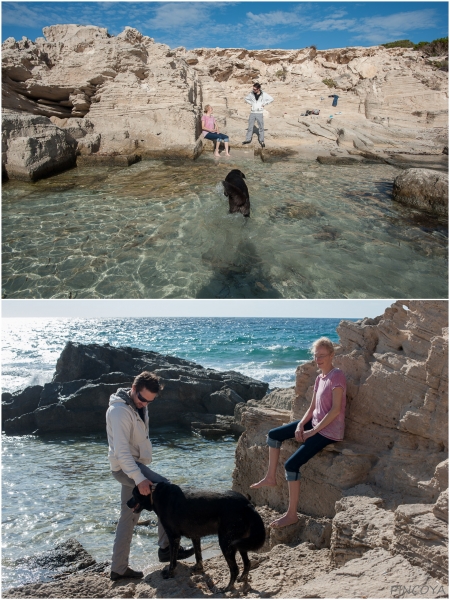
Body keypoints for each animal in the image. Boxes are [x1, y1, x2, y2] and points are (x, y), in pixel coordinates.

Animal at [126, 482, 266, 592]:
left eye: (134, 494)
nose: (127, 503)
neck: (155, 494)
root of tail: (247, 505)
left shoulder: (173, 537)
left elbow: (172, 560)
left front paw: (169, 574)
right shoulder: (195, 536)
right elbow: (198, 555)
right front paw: (198, 569)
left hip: (226, 542)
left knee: (235, 569)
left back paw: (227, 588)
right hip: (240, 541)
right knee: (247, 563)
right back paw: (242, 579)